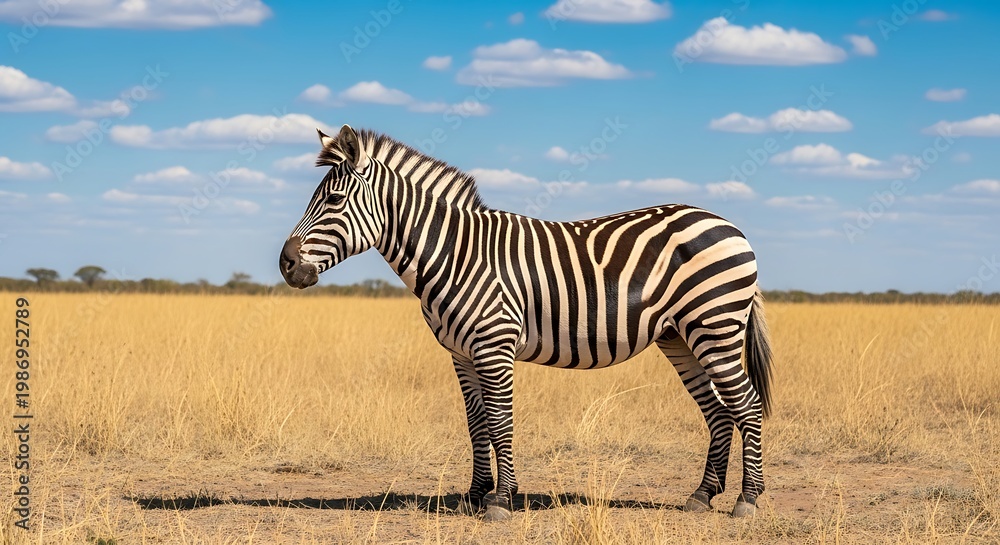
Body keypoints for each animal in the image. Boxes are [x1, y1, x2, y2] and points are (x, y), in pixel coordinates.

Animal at [279, 125, 774, 521]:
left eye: (334, 200)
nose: (286, 266)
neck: (456, 254)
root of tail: (728, 224)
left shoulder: (494, 345)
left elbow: (501, 421)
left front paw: (501, 500)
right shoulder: (461, 354)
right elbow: (477, 422)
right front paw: (475, 495)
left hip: (715, 325)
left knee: (746, 404)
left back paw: (746, 500)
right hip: (679, 337)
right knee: (718, 410)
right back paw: (702, 495)